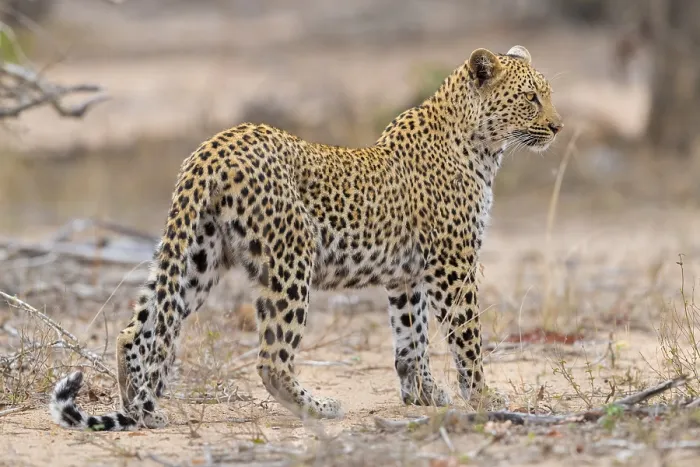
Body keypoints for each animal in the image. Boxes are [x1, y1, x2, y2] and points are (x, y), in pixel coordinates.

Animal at [50, 45, 562, 431]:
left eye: (548, 95)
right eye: (532, 98)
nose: (558, 126)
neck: (483, 147)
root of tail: (211, 148)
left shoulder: (407, 275)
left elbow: (410, 339)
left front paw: (424, 396)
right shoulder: (452, 265)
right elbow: (465, 337)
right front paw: (482, 398)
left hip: (198, 255)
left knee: (137, 329)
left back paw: (141, 408)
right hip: (291, 256)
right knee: (271, 359)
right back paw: (319, 408)